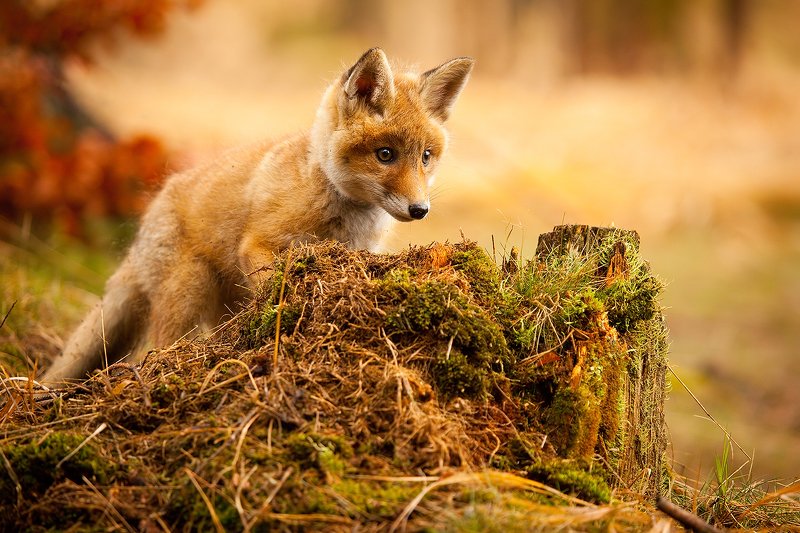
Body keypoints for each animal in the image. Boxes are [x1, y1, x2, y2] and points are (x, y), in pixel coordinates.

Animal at [41, 48, 474, 384]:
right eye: (385, 154)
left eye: (426, 157)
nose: (420, 210)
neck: (332, 195)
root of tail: (142, 233)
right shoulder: (258, 245)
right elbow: (275, 287)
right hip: (190, 286)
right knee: (160, 343)